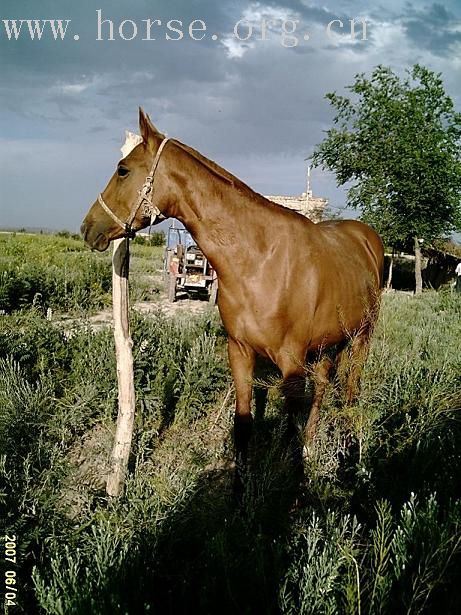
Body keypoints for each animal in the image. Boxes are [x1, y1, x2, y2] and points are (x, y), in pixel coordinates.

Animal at [81, 109, 382, 466]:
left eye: (123, 170)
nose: (87, 227)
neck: (259, 260)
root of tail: (366, 237)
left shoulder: (292, 364)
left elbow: (289, 433)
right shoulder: (239, 351)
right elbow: (242, 426)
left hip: (362, 338)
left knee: (351, 392)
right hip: (327, 344)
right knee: (323, 387)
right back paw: (312, 445)